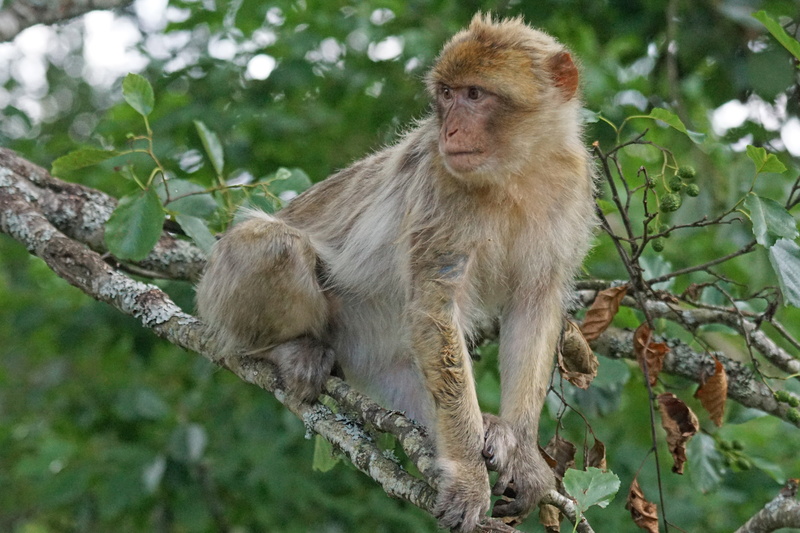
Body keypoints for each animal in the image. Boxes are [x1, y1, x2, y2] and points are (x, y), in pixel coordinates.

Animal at [196, 14, 595, 532]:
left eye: (475, 95)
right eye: (446, 94)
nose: (450, 131)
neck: (517, 171)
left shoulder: (572, 184)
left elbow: (534, 304)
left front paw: (522, 452)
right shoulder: (442, 188)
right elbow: (434, 310)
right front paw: (468, 478)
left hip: (386, 361)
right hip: (223, 285)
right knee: (277, 249)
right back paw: (284, 350)